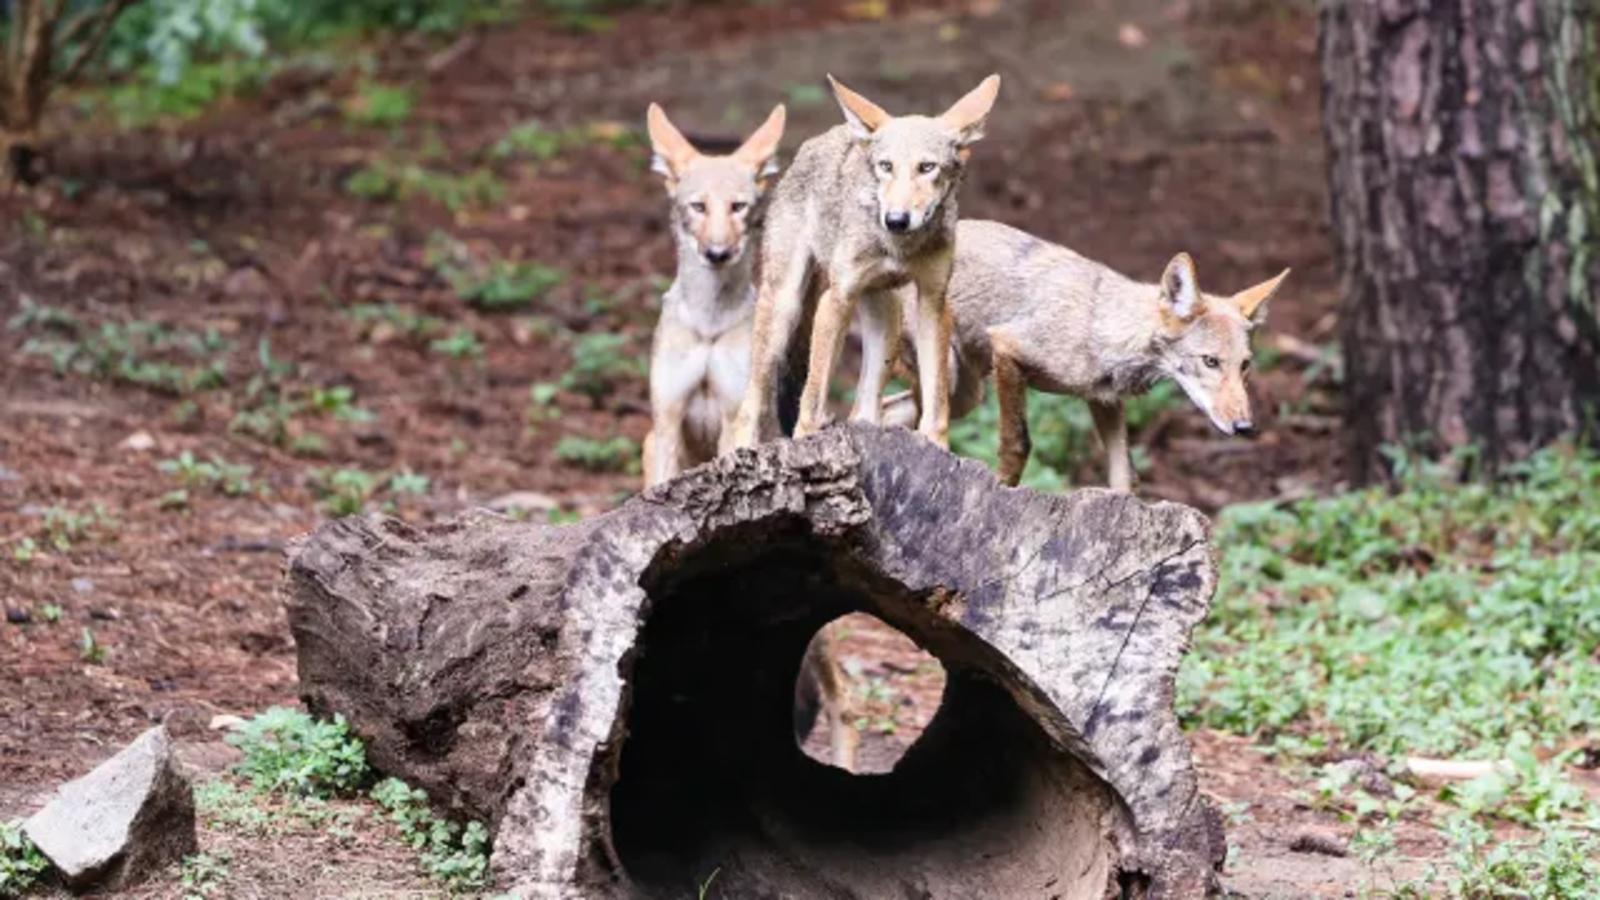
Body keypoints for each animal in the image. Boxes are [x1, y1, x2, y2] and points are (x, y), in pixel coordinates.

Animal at [640, 101, 784, 486]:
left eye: (738, 206)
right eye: (698, 207)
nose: (718, 253)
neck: (709, 326)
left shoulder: (735, 417)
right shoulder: (667, 419)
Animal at [726, 71, 998, 448]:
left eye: (927, 167)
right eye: (886, 167)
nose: (896, 219)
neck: (899, 247)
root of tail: (821, 139)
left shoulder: (933, 302)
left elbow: (936, 399)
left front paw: (936, 445)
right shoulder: (836, 298)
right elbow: (812, 397)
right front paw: (805, 440)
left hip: (889, 319)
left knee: (864, 409)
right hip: (784, 309)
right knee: (749, 407)